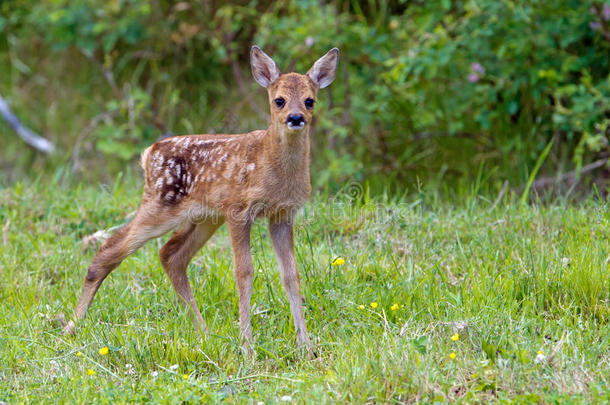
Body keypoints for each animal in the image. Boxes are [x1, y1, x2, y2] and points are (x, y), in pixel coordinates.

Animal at [64, 43, 340, 348]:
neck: (272, 166)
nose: (296, 118)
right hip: (161, 203)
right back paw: (70, 328)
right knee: (109, 249)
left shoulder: (282, 214)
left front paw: (306, 346)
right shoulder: (238, 210)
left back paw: (204, 333)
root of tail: (148, 153)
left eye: (309, 101)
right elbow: (244, 272)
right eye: (279, 100)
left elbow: (291, 274)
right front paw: (247, 345)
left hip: (205, 216)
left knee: (170, 255)